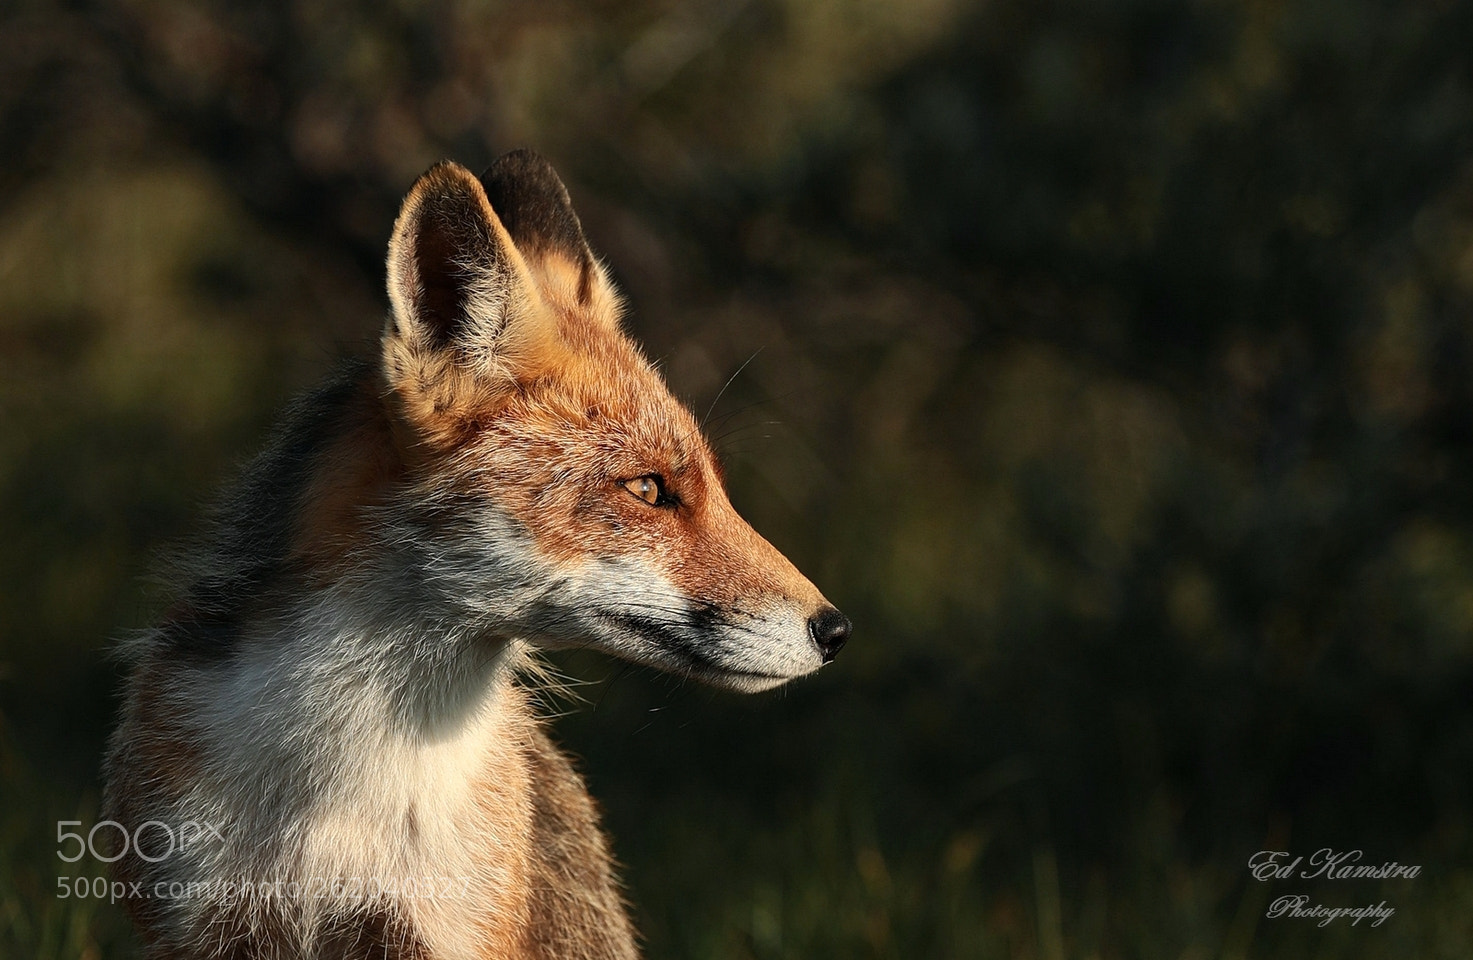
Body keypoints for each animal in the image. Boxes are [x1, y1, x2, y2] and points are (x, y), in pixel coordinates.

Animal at [101, 150, 850, 959]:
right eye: (649, 489)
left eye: (713, 485)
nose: (836, 629)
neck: (337, 787)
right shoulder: (205, 922)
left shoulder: (438, 928)